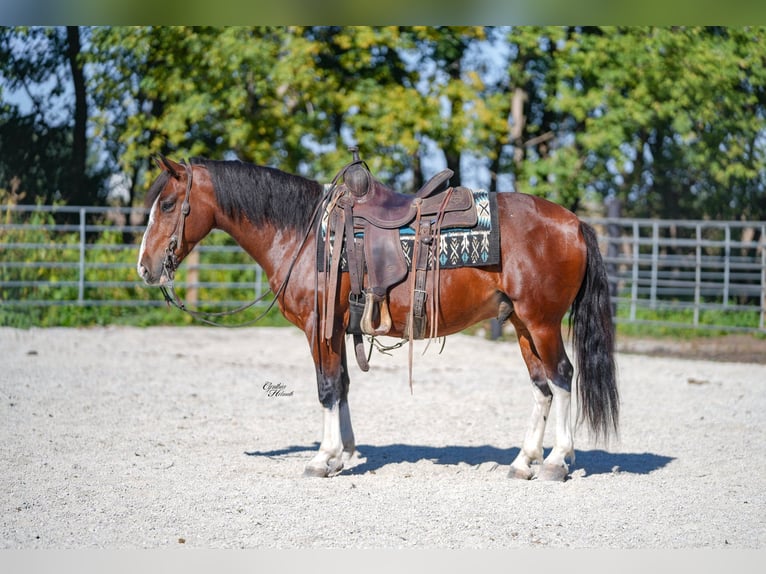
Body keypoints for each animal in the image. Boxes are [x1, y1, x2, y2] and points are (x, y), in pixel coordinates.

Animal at [136, 155, 619, 481]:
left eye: (168, 204)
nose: (145, 267)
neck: (304, 236)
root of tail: (574, 223)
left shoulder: (318, 328)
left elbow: (327, 389)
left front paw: (322, 458)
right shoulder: (336, 329)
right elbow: (343, 386)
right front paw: (344, 452)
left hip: (542, 322)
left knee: (561, 377)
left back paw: (556, 462)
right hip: (521, 324)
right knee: (542, 387)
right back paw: (523, 462)